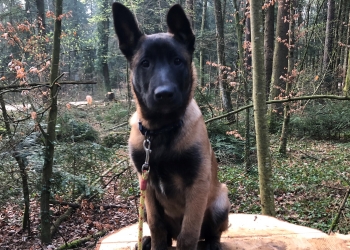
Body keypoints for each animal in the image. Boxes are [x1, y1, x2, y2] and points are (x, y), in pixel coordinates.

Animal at [112, 2, 231, 250]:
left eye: (177, 61)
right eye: (145, 63)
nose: (164, 94)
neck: (160, 130)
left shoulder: (197, 184)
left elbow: (189, 234)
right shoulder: (146, 184)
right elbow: (156, 225)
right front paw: (155, 241)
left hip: (221, 200)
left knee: (212, 232)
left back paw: (212, 243)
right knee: (163, 231)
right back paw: (147, 240)